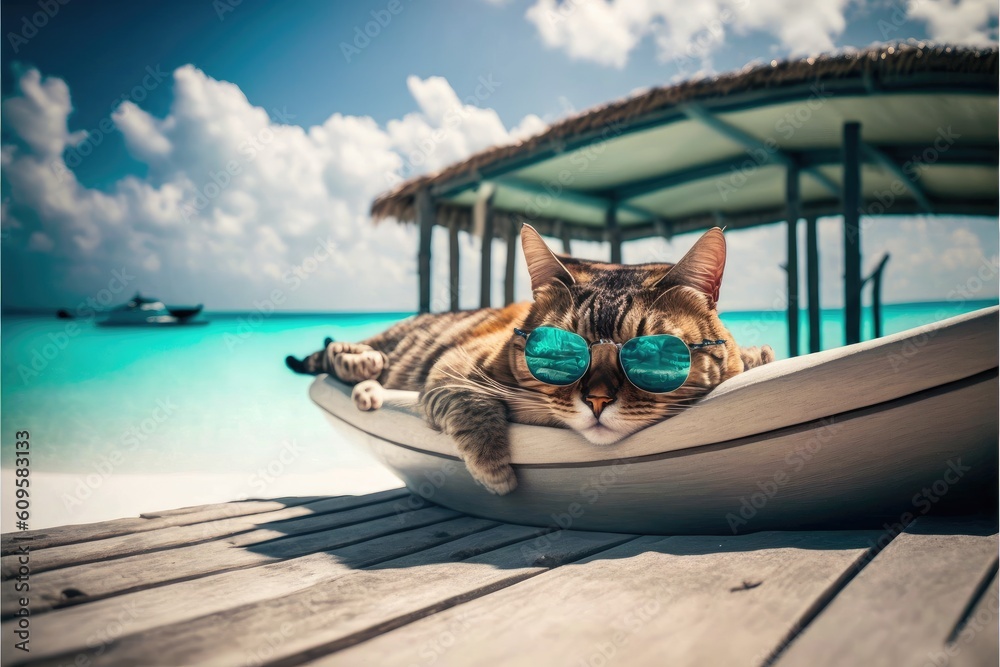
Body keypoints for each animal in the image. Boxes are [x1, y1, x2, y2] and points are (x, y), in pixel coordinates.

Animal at [286, 226, 776, 496]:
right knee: (338, 349)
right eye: (560, 351)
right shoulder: (452, 366)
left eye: (652, 354)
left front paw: (758, 354)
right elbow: (469, 401)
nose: (597, 400)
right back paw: (361, 366)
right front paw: (492, 467)